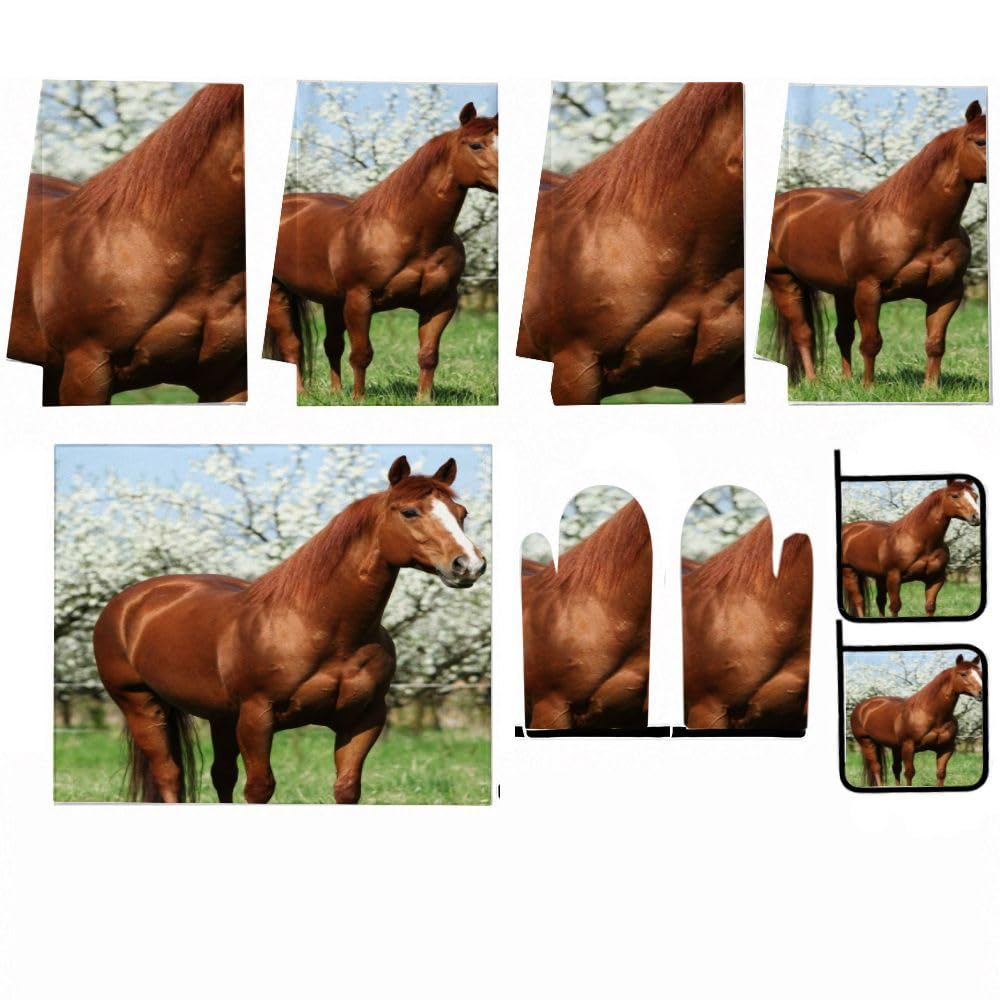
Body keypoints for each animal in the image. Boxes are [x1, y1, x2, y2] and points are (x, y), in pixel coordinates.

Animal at [93, 457, 486, 804]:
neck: (321, 629)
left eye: (462, 513)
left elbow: (347, 789)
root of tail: (128, 602)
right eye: (409, 512)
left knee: (221, 775)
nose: (469, 565)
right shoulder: (256, 719)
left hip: (221, 716)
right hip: (141, 705)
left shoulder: (363, 720)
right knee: (169, 775)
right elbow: (259, 789)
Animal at [264, 102, 498, 401]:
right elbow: (361, 354)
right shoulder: (359, 300)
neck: (408, 233)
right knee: (292, 345)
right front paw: (359, 400)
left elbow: (428, 355)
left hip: (332, 301)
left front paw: (423, 401)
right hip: (279, 293)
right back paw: (303, 395)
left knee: (332, 345)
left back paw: (335, 393)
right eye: (476, 145)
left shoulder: (441, 303)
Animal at [766, 101, 987, 389]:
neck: (915, 225)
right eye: (980, 141)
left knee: (842, 334)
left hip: (842, 291)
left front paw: (930, 389)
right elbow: (872, 342)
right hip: (783, 281)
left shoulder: (948, 293)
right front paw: (868, 387)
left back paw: (846, 380)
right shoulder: (869, 290)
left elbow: (935, 343)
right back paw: (814, 382)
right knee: (803, 333)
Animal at [841, 479, 980, 618]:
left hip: (879, 577)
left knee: (880, 601)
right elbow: (895, 606)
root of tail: (849, 529)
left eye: (975, 496)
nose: (976, 517)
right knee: (859, 601)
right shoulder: (894, 578)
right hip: (849, 572)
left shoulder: (936, 579)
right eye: (955, 496)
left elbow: (930, 606)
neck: (919, 540)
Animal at [850, 654, 983, 786]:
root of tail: (863, 706)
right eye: (963, 674)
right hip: (867, 742)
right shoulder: (908, 748)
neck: (931, 714)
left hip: (895, 747)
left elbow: (940, 774)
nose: (981, 692)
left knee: (895, 768)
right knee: (877, 768)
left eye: (980, 673)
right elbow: (909, 773)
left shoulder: (946, 748)